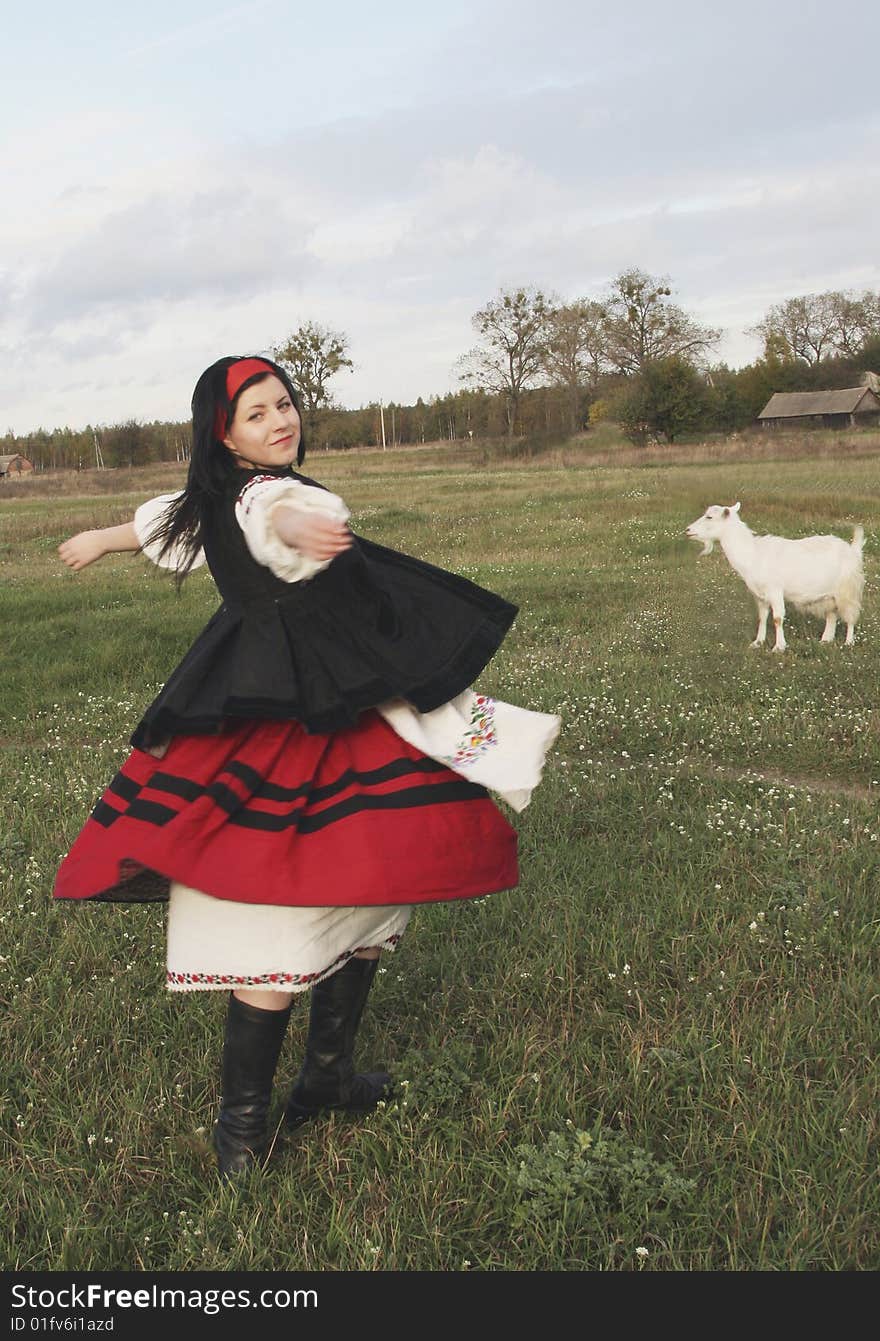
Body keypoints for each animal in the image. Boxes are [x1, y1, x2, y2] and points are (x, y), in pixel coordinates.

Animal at [684, 504, 863, 649]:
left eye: (709, 517)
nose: (687, 530)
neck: (752, 553)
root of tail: (852, 550)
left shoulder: (775, 590)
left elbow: (777, 618)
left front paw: (779, 647)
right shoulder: (760, 595)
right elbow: (762, 617)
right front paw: (757, 642)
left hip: (847, 590)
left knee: (851, 616)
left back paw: (848, 642)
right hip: (829, 595)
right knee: (831, 615)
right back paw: (825, 640)